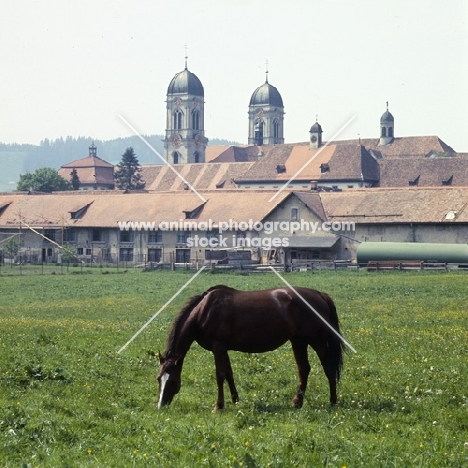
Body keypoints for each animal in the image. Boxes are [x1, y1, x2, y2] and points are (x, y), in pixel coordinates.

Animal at [157, 284, 344, 412]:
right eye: (158, 379)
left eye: (172, 381)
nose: (160, 405)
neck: (204, 310)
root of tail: (320, 295)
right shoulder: (223, 349)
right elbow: (229, 374)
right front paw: (235, 400)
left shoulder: (218, 347)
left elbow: (220, 375)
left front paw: (218, 406)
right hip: (298, 341)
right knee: (304, 369)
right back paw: (297, 402)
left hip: (317, 342)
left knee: (328, 368)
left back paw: (333, 401)